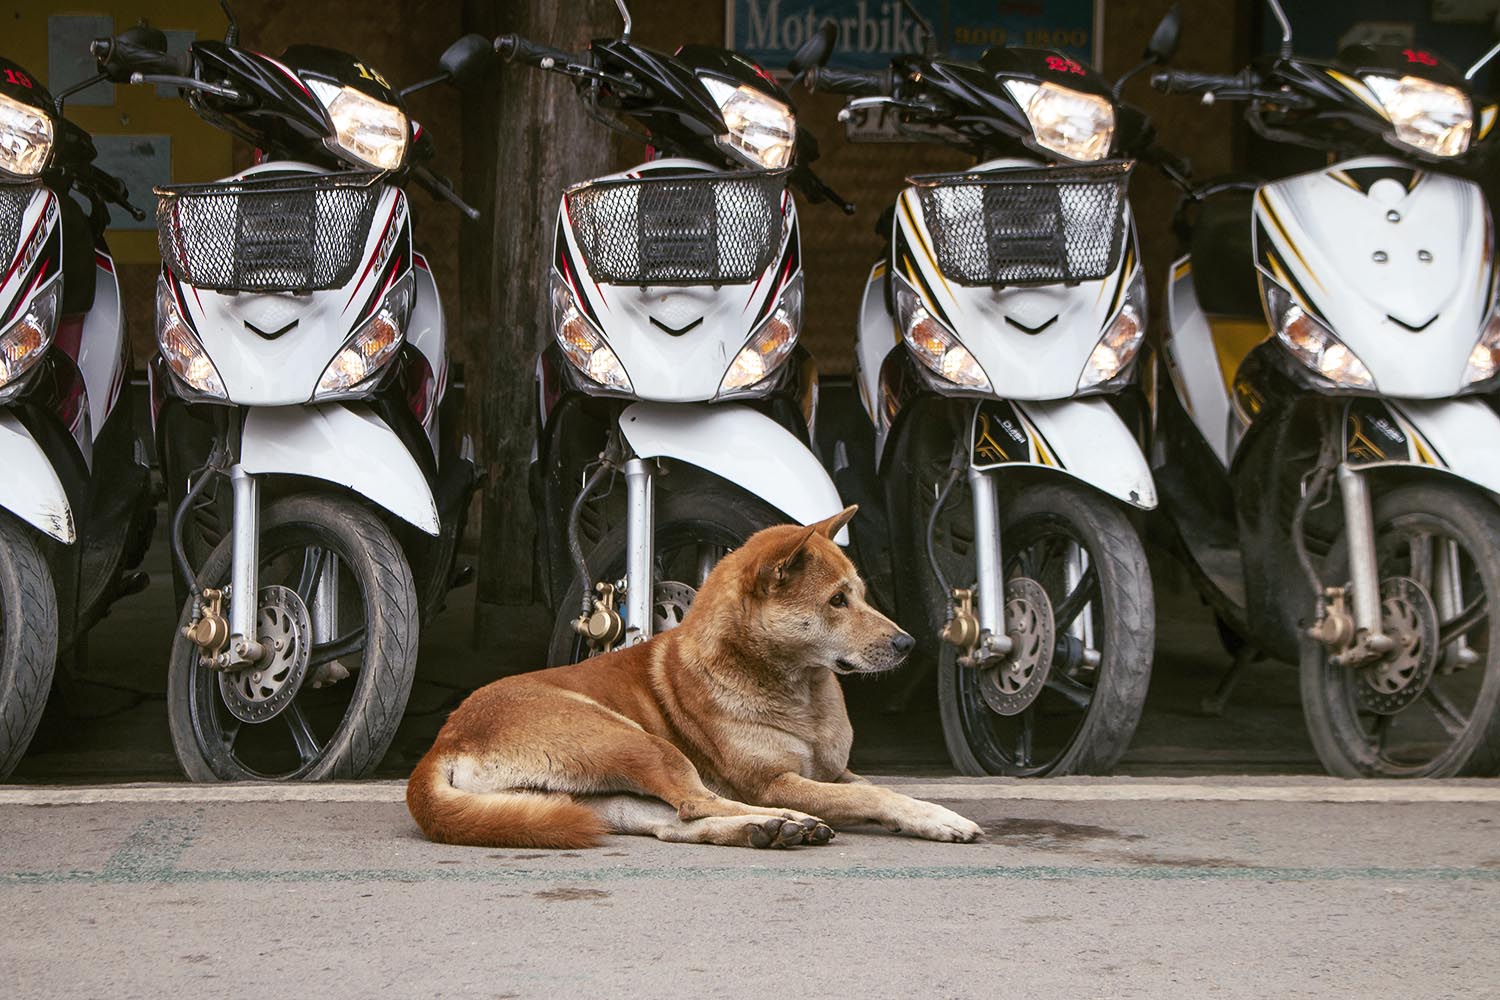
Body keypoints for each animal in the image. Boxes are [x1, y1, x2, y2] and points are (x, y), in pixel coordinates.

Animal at [407, 505, 983, 849]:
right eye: (837, 601)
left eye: (860, 594)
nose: (909, 644)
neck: (800, 693)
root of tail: (442, 741)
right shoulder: (774, 781)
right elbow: (875, 794)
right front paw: (938, 817)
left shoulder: (835, 772)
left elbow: (887, 791)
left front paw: (931, 814)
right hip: (639, 743)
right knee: (694, 801)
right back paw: (786, 821)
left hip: (603, 797)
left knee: (676, 824)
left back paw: (764, 829)